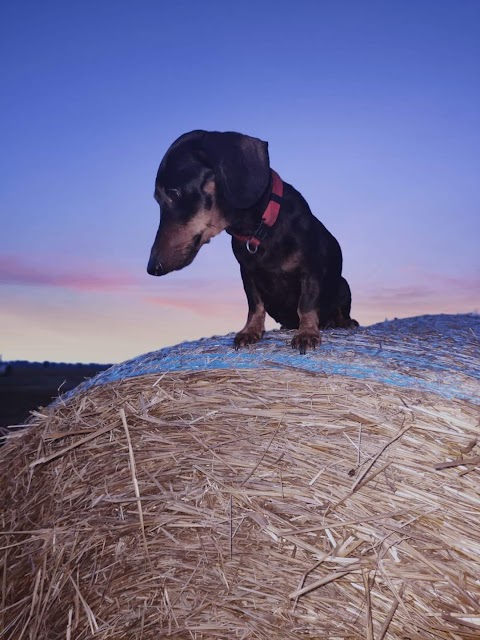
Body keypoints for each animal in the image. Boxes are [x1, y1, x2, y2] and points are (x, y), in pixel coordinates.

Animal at [146, 127, 356, 352]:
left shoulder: (310, 270)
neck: (258, 231)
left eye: (174, 193)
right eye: (157, 199)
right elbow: (255, 305)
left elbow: (306, 305)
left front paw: (306, 333)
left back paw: (342, 322)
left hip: (343, 286)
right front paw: (250, 331)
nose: (152, 268)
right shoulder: (247, 274)